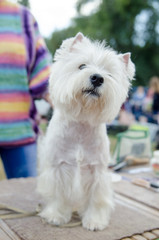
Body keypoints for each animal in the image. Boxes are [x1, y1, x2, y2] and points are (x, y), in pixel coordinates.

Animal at [37, 32, 135, 232]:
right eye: (82, 66)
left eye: (109, 74)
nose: (97, 78)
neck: (82, 122)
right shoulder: (59, 167)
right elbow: (58, 194)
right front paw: (56, 216)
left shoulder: (97, 171)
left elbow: (96, 199)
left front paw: (95, 221)